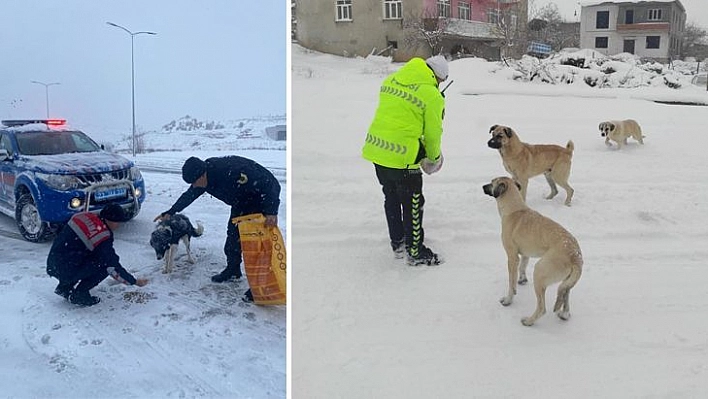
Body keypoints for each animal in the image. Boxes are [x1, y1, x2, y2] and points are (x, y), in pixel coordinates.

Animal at [484, 177, 584, 326]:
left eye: (492, 182)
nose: (482, 186)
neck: (514, 209)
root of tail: (575, 257)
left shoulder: (512, 257)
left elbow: (511, 282)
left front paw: (508, 300)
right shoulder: (525, 254)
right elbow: (522, 267)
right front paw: (522, 279)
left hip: (539, 272)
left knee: (542, 308)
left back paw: (528, 321)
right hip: (566, 282)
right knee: (565, 295)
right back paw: (564, 314)